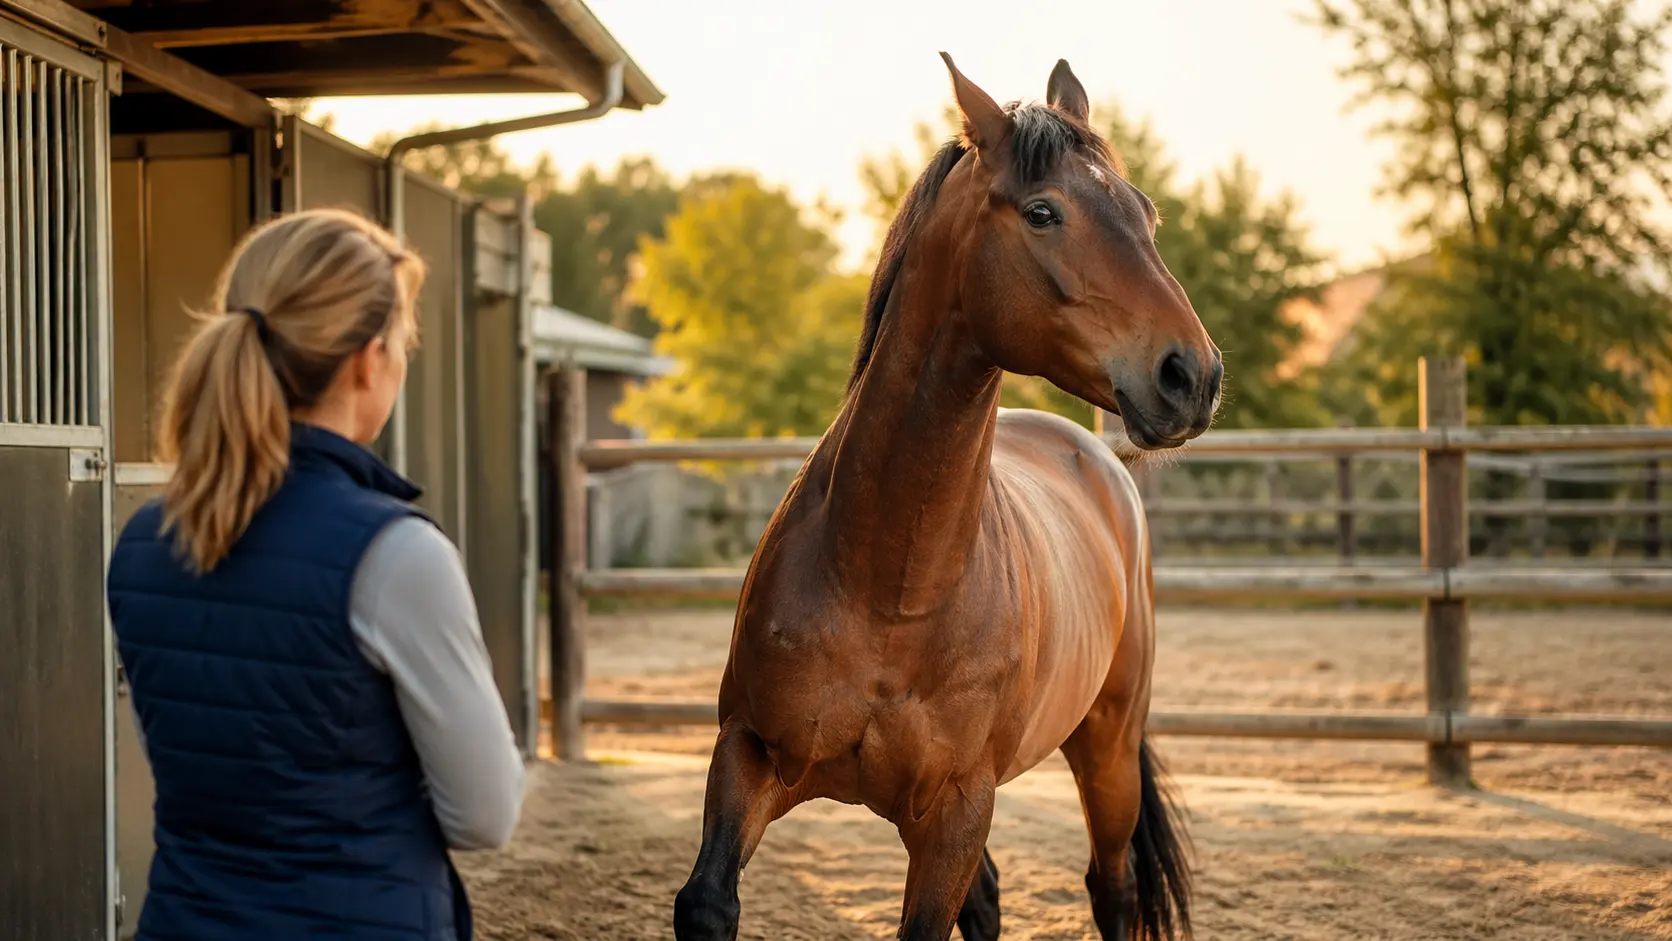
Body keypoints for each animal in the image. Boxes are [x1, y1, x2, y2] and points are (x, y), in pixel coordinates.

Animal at [672, 54, 1223, 941]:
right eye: (1043, 211)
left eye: (1145, 213)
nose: (1192, 374)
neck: (890, 589)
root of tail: (1097, 457)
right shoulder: (747, 754)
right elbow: (707, 902)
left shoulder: (960, 807)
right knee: (994, 899)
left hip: (1106, 750)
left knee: (1111, 888)